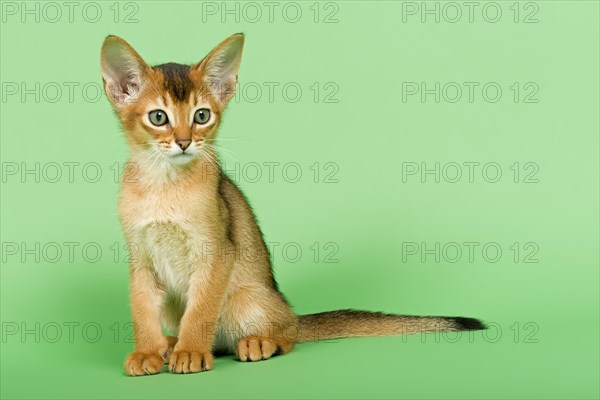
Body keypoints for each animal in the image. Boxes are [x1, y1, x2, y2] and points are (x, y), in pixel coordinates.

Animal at [101, 33, 486, 376]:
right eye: (158, 117)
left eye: (201, 116)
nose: (184, 142)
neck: (163, 185)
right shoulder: (140, 259)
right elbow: (141, 311)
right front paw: (147, 352)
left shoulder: (216, 252)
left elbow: (200, 313)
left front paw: (191, 352)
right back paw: (169, 344)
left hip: (246, 296)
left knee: (286, 333)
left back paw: (255, 342)